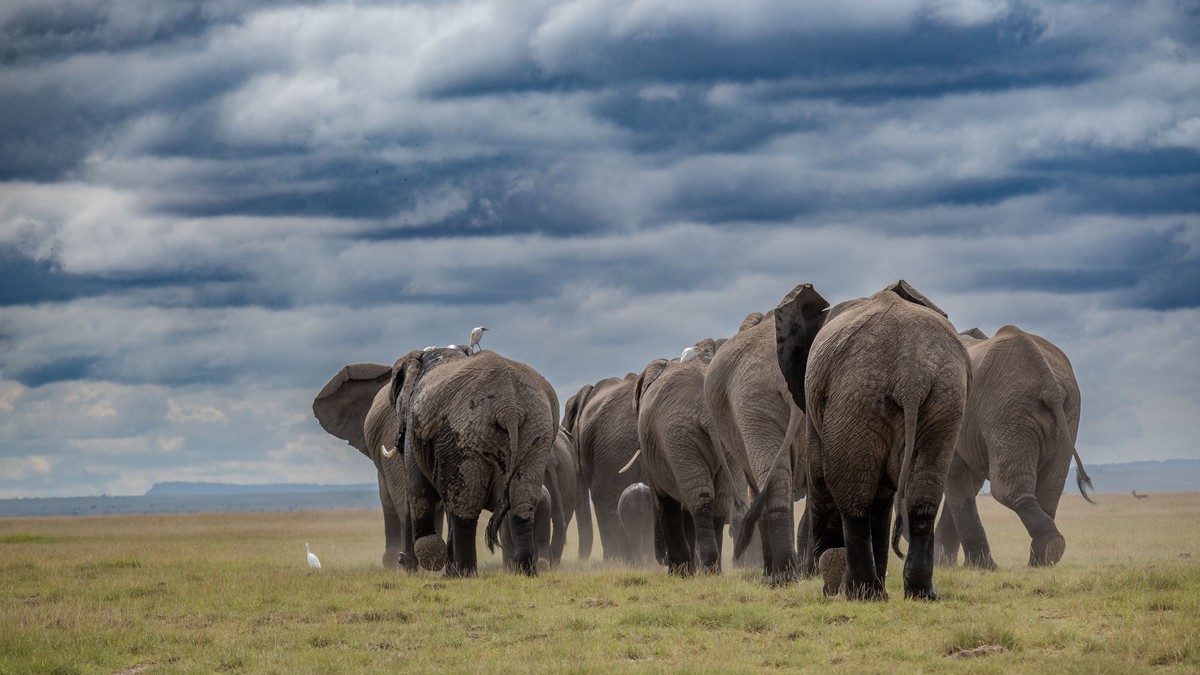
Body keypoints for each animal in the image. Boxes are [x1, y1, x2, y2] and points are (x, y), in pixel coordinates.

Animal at [390, 346, 559, 576]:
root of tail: (510, 407)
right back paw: (524, 571)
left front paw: (433, 560)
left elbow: (418, 488)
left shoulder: (417, 430)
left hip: (465, 433)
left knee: (464, 507)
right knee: (522, 500)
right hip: (536, 432)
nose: (401, 559)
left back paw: (463, 574)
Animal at [632, 339, 751, 575]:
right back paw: (713, 571)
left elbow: (665, 501)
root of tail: (707, 413)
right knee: (718, 501)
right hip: (720, 440)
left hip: (678, 438)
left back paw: (703, 566)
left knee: (698, 497)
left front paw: (680, 573)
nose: (662, 561)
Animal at [761, 280, 970, 601]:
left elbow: (819, 477)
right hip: (942, 400)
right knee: (922, 496)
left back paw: (861, 593)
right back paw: (920, 594)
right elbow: (882, 499)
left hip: (856, 398)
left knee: (853, 499)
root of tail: (911, 377)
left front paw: (830, 589)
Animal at [935, 325, 1094, 569]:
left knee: (1006, 489)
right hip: (1065, 415)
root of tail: (1051, 384)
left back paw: (1046, 552)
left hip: (1008, 413)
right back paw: (1043, 559)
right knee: (1049, 491)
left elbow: (957, 478)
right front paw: (947, 565)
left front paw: (974, 568)